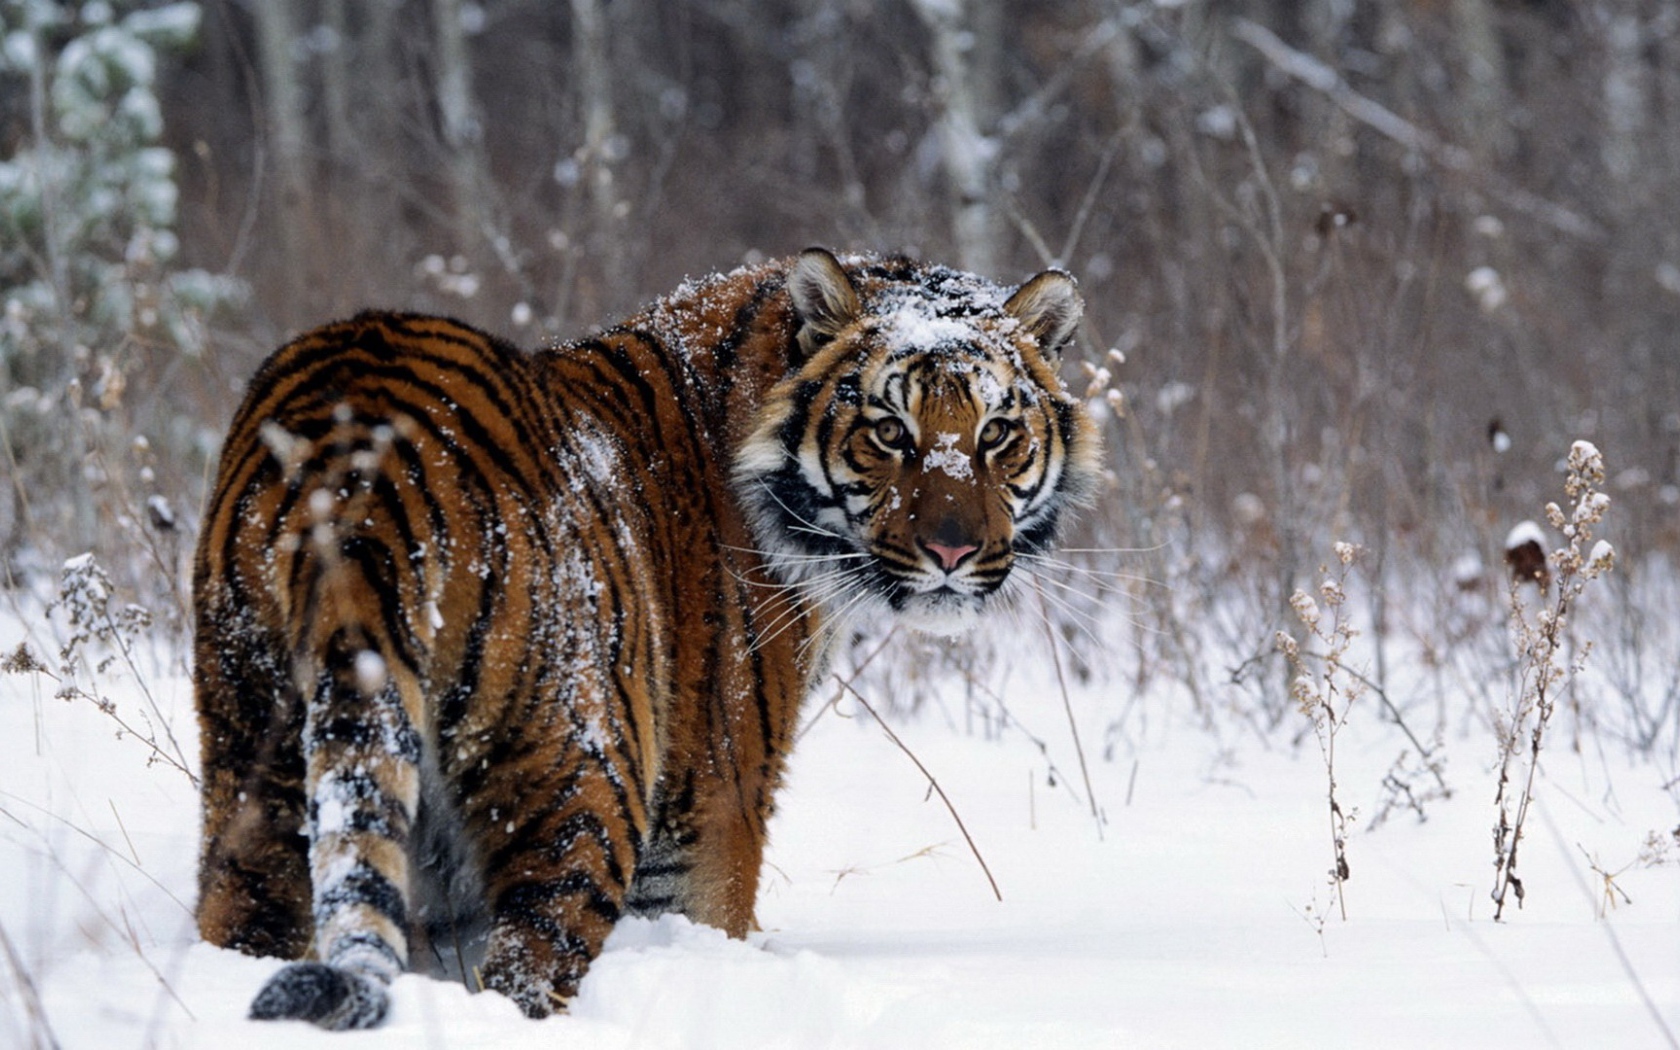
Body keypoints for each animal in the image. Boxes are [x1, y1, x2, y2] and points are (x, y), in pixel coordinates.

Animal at [192, 248, 1102, 1029]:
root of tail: (358, 462)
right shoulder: (713, 805)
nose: (952, 553)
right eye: (888, 432)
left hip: (255, 761)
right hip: (583, 780)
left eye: (995, 434)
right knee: (528, 968)